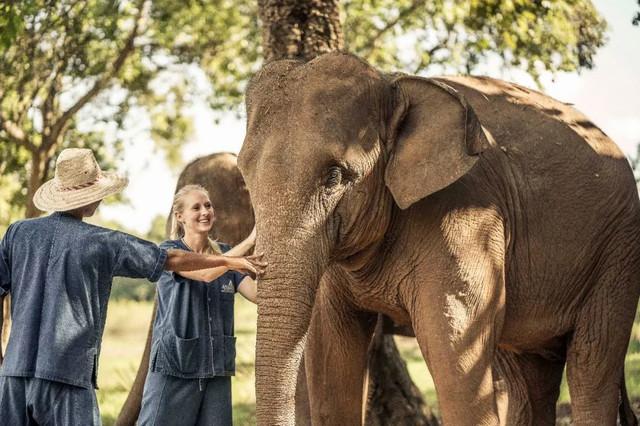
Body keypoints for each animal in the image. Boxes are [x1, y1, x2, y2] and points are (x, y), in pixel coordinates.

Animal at [239, 50, 640, 426]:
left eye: (335, 175)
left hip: (618, 253)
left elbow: (455, 359)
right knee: (529, 378)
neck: (392, 83)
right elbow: (331, 351)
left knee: (591, 363)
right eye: (244, 173)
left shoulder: (464, 215)